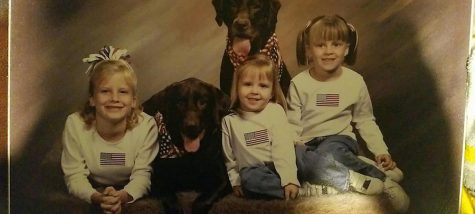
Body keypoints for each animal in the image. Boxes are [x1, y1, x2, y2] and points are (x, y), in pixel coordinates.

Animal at [143, 78, 232, 214]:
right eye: (180, 102)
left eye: (203, 102)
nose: (191, 126)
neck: (191, 157)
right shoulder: (156, 178)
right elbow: (169, 198)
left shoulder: (222, 180)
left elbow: (202, 201)